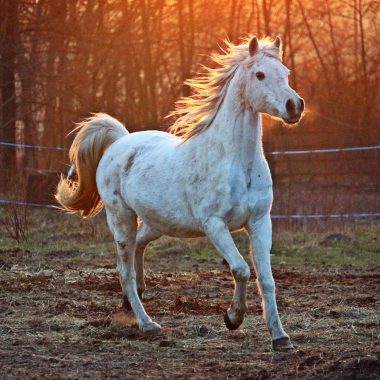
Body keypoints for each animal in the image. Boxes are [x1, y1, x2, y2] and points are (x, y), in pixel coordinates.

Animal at [56, 35, 304, 350]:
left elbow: (267, 280)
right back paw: (147, 324)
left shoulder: (260, 222)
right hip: (121, 218)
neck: (236, 162)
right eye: (259, 74)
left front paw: (280, 337)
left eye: (285, 73)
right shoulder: (214, 225)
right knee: (125, 270)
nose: (294, 106)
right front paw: (232, 318)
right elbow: (241, 269)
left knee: (138, 248)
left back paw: (132, 301)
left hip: (157, 222)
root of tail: (121, 141)